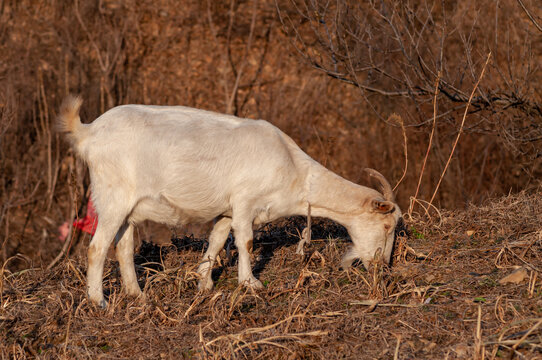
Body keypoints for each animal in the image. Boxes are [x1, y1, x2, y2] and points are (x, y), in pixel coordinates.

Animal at [57, 95, 404, 306]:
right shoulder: (244, 203)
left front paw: (204, 283)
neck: (294, 169)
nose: (383, 266)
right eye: (387, 225)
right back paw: (99, 301)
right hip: (112, 198)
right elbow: (246, 242)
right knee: (96, 248)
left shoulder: (226, 211)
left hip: (129, 207)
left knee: (124, 246)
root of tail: (89, 131)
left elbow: (217, 239)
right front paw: (251, 283)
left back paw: (137, 294)